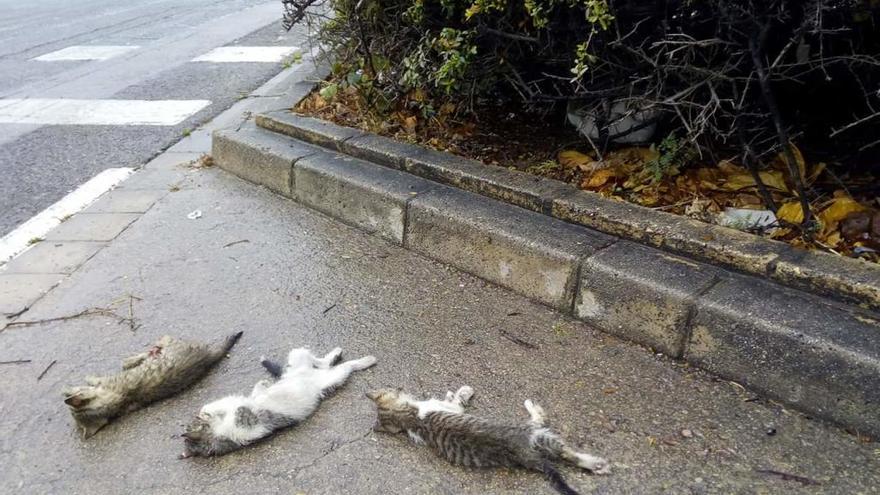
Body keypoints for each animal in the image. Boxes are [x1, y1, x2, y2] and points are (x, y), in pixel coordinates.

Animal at [64, 334, 244, 438]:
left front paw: (82, 382)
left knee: (165, 338)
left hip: (172, 345)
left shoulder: (105, 383)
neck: (120, 400)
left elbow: (95, 379)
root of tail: (207, 357)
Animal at [180, 346, 376, 460]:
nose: (198, 418)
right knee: (345, 366)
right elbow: (243, 414)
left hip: (298, 356)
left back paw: (337, 352)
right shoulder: (254, 430)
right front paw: (238, 411)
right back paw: (366, 360)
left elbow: (223, 403)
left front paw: (206, 412)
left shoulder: (232, 404)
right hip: (333, 378)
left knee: (320, 361)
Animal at [368, 388, 608, 495]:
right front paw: (462, 391)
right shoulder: (453, 409)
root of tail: (524, 452)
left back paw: (596, 465)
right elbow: (457, 400)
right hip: (535, 432)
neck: (408, 417)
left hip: (542, 440)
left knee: (567, 454)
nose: (397, 388)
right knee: (546, 426)